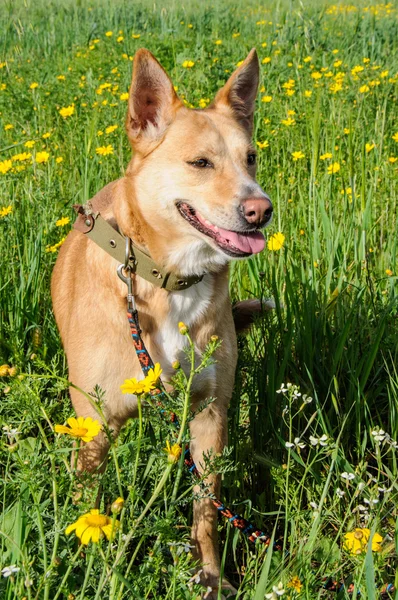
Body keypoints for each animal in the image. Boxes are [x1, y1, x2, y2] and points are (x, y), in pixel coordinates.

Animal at [50, 48, 274, 596]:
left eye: (251, 158)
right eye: (200, 163)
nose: (260, 210)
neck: (170, 280)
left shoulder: (210, 415)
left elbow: (206, 510)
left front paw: (209, 575)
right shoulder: (95, 426)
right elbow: (87, 502)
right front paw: (85, 567)